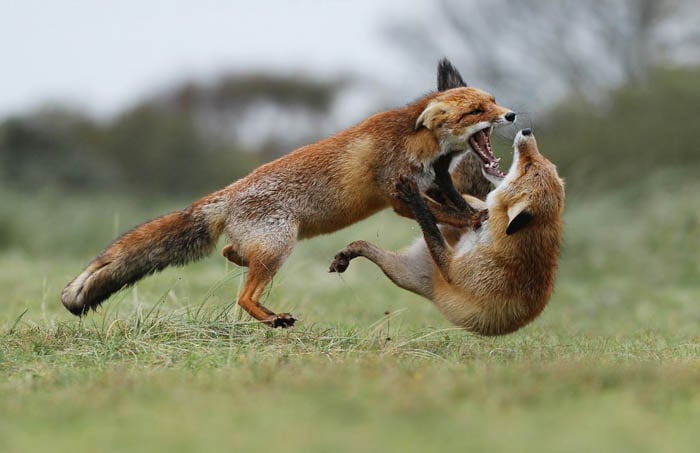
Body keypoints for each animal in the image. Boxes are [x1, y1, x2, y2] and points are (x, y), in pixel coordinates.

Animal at [61, 59, 516, 328]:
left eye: (493, 101)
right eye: (476, 111)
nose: (512, 115)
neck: (417, 142)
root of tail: (225, 195)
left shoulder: (430, 183)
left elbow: (454, 205)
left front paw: (479, 213)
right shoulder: (400, 196)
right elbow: (446, 214)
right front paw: (474, 218)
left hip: (269, 247)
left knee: (231, 255)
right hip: (280, 245)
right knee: (243, 295)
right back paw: (272, 319)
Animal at [329, 129, 565, 335]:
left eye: (527, 166)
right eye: (536, 163)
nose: (527, 131)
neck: (497, 236)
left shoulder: (452, 269)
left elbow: (429, 224)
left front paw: (414, 197)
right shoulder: (479, 213)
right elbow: (461, 205)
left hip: (401, 274)